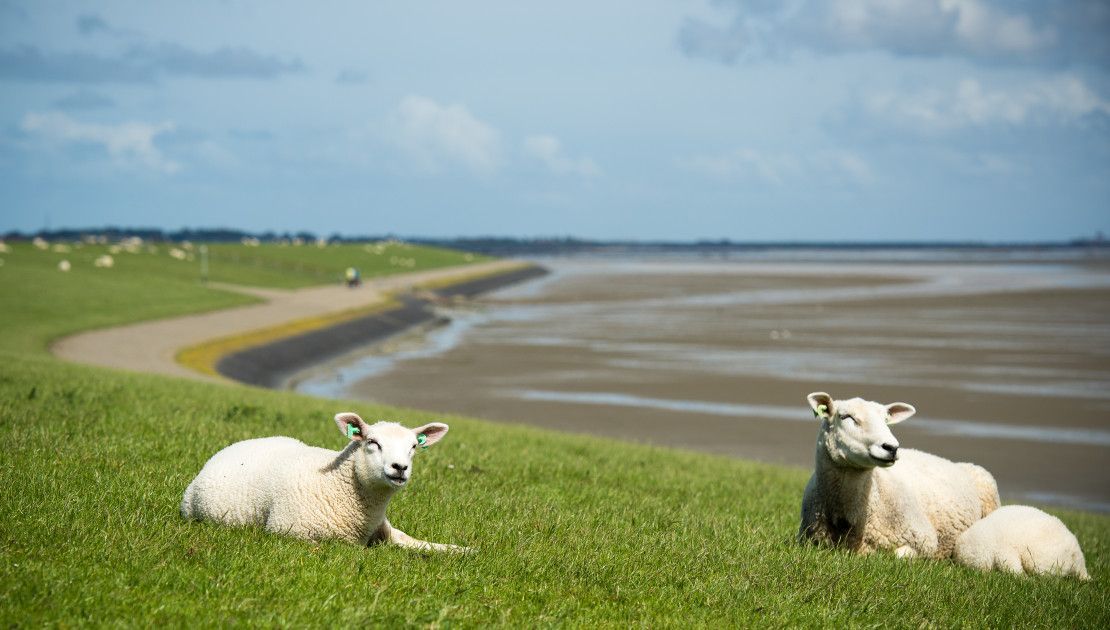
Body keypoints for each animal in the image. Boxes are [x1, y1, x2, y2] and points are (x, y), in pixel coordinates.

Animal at [178, 412, 472, 550]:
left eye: (413, 447)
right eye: (372, 442)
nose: (400, 467)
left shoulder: (384, 529)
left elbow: (414, 541)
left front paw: (462, 551)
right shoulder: (289, 532)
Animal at [794, 390, 1003, 559]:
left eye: (886, 420)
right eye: (846, 417)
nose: (891, 447)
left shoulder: (925, 540)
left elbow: (897, 555)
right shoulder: (810, 541)